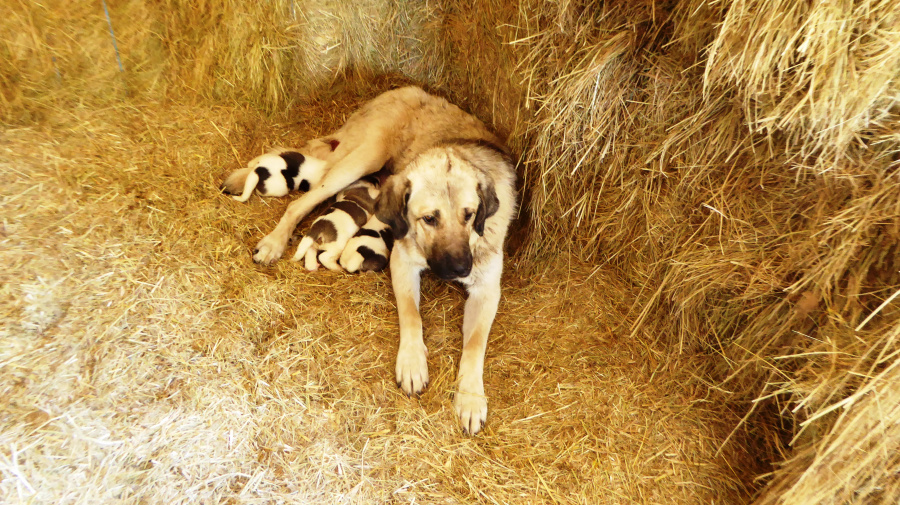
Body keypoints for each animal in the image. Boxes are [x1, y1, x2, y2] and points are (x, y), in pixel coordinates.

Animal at [225, 86, 516, 434]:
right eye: (429, 219)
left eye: (469, 215)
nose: (460, 268)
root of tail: (403, 89)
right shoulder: (402, 261)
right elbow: (411, 314)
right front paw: (412, 362)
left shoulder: (487, 289)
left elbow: (475, 344)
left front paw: (471, 397)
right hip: (364, 158)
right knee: (301, 201)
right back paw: (273, 240)